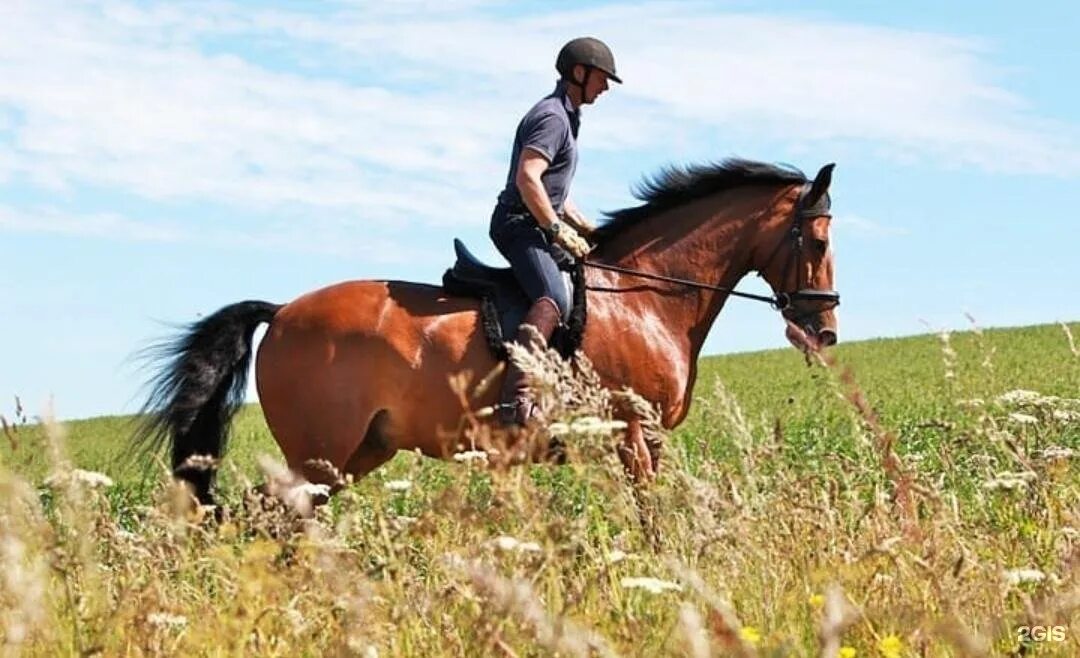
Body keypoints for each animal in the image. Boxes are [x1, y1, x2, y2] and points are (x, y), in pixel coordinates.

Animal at [135, 157, 838, 503]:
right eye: (819, 238)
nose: (826, 328)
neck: (646, 295)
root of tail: (280, 312)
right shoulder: (633, 436)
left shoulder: (645, 443)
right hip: (320, 453)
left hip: (359, 453)